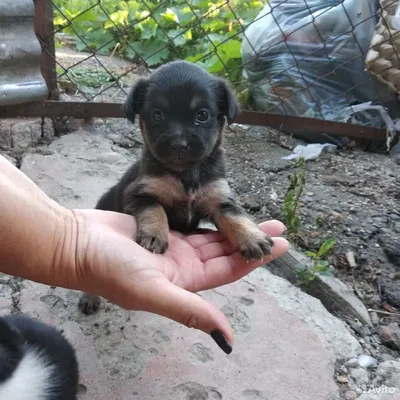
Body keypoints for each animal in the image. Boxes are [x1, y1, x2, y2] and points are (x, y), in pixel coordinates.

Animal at [79, 60, 272, 316]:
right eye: (157, 115)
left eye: (202, 115)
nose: (179, 145)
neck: (185, 175)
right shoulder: (139, 195)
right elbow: (156, 210)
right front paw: (154, 235)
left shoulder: (220, 200)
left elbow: (236, 217)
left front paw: (252, 237)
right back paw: (89, 297)